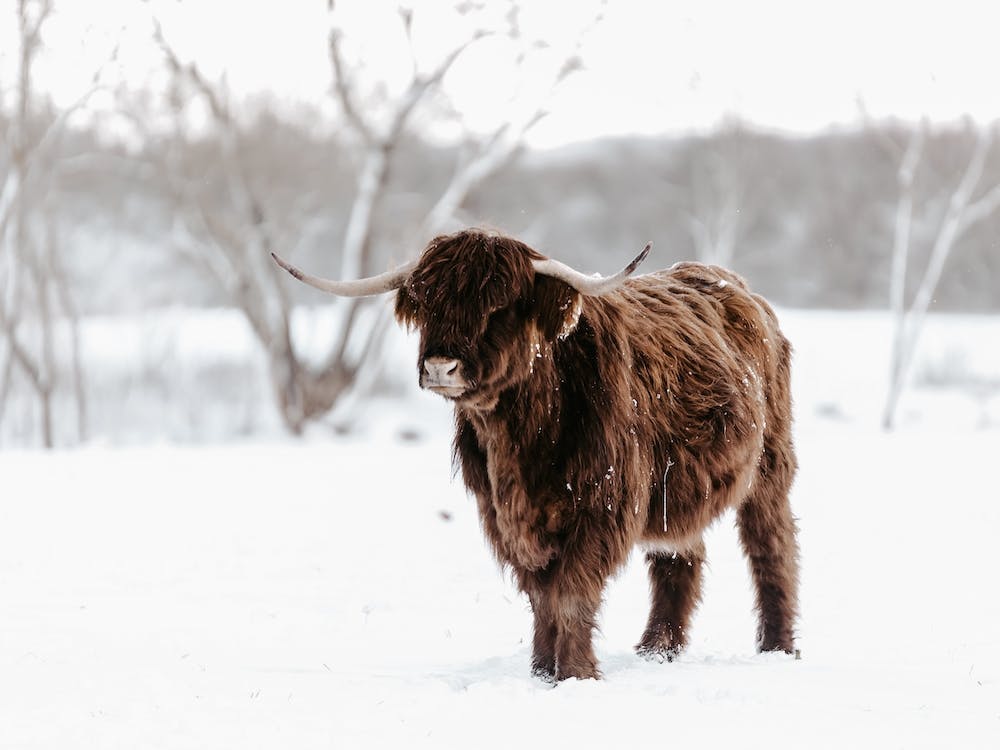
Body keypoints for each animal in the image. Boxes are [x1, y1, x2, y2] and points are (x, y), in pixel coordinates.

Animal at [272, 228, 799, 681]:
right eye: (427, 303)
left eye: (498, 306)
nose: (441, 366)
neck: (521, 441)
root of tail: (738, 288)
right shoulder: (501, 514)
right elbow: (541, 596)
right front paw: (542, 671)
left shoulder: (602, 506)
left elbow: (571, 593)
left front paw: (576, 674)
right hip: (676, 490)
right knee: (679, 554)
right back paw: (657, 650)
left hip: (769, 468)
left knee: (772, 546)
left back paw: (778, 646)